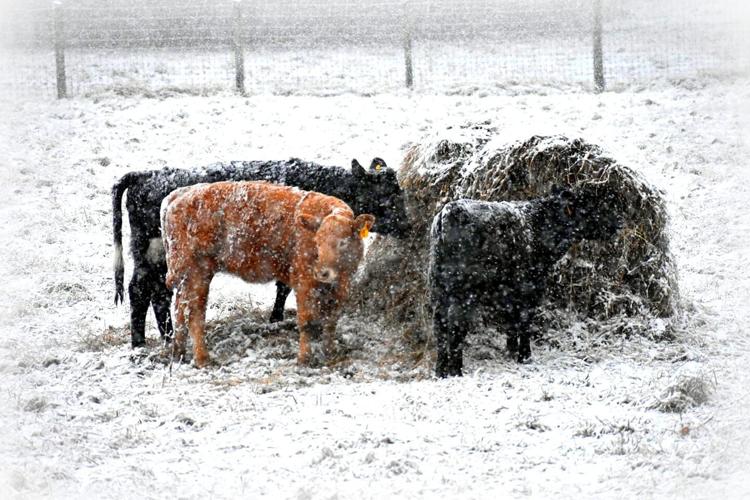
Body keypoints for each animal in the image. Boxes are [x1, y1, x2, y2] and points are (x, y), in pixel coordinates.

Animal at [112, 157, 409, 348]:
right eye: (387, 197)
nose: (409, 225)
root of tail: (147, 175)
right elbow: (285, 287)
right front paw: (276, 318)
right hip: (156, 254)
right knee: (141, 290)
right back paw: (140, 344)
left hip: (155, 257)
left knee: (156, 292)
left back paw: (167, 336)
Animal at [160, 181, 374, 368]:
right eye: (318, 242)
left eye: (343, 242)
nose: (322, 272)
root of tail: (178, 195)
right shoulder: (304, 284)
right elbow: (306, 322)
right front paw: (304, 359)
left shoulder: (340, 289)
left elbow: (331, 322)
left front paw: (330, 353)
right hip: (197, 273)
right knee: (194, 314)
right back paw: (203, 359)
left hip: (188, 277)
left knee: (180, 309)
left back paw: (178, 354)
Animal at [428, 186, 622, 377]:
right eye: (590, 207)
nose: (619, 221)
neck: (539, 226)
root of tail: (450, 210)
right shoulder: (530, 286)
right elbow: (525, 320)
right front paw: (525, 357)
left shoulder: (508, 291)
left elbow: (511, 321)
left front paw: (511, 352)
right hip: (462, 291)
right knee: (455, 326)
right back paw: (456, 371)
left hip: (438, 289)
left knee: (440, 326)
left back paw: (440, 372)